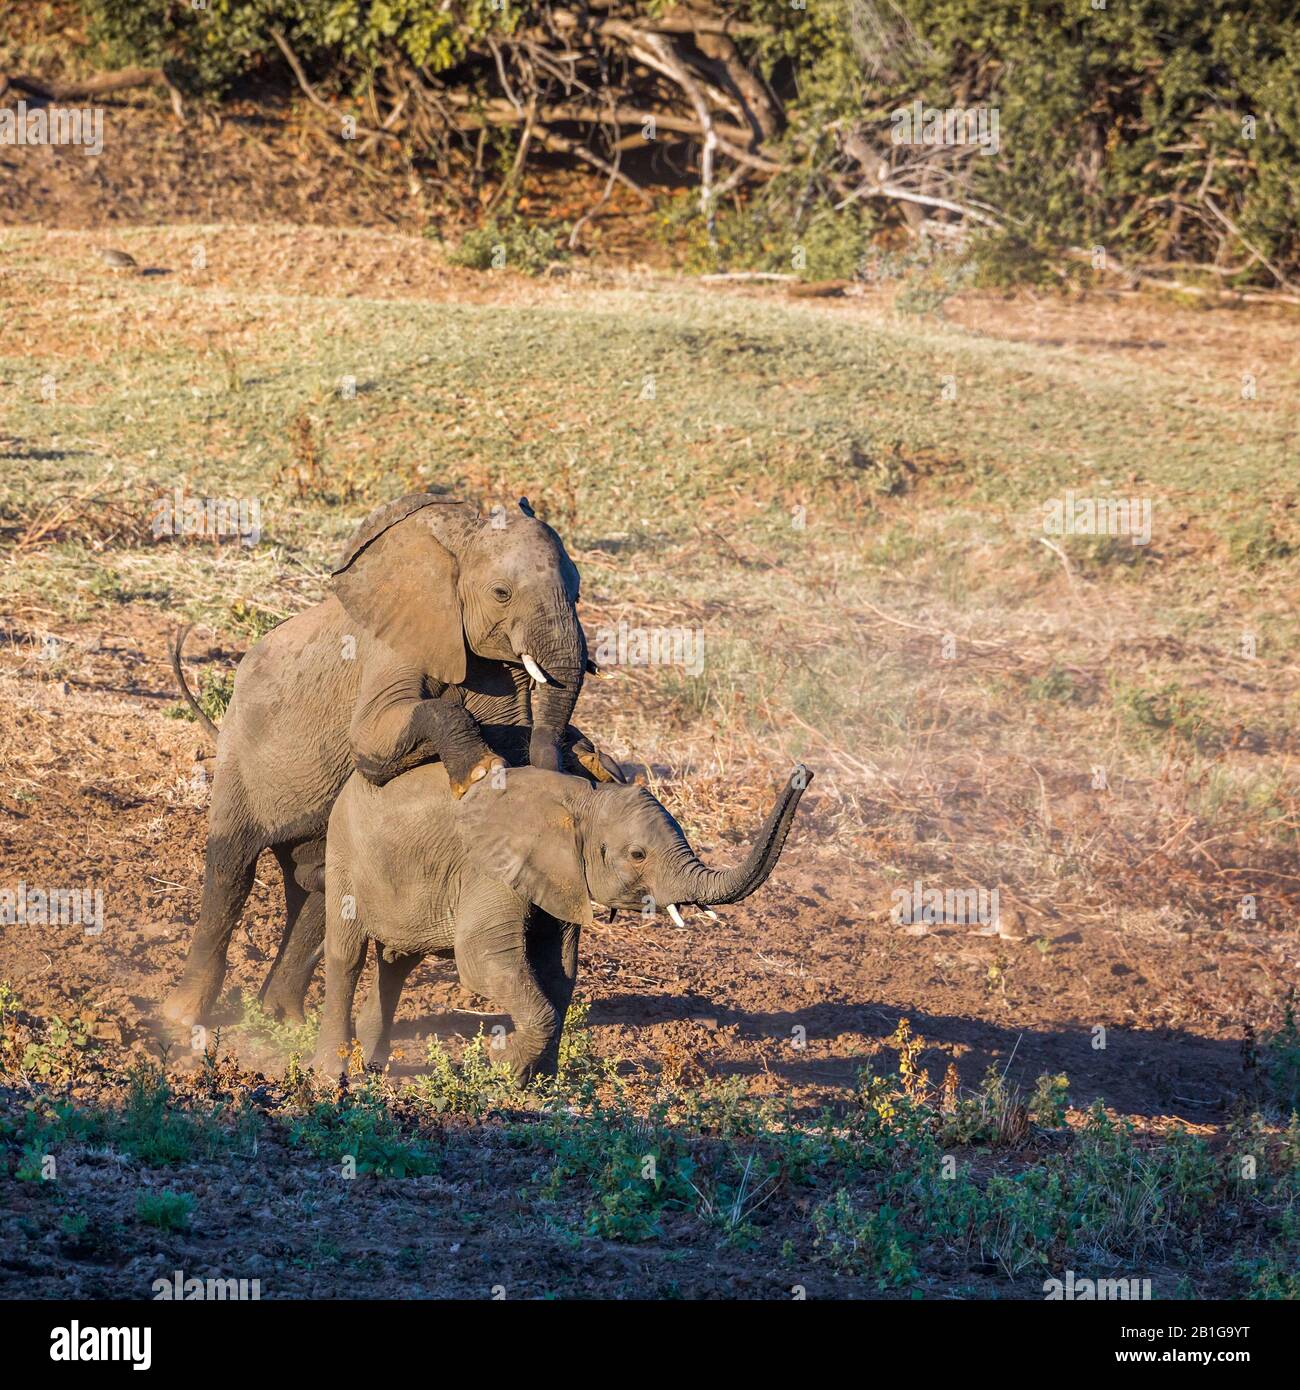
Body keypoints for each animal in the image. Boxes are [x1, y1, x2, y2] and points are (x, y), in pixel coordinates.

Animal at [311, 761, 811, 1084]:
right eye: (637, 854)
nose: (802, 772)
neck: (580, 798)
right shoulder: (491, 866)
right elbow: (483, 962)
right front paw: (502, 1064)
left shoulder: (560, 876)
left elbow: (559, 972)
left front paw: (540, 1083)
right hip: (343, 851)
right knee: (347, 954)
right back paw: (333, 1075)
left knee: (398, 960)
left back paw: (376, 1065)